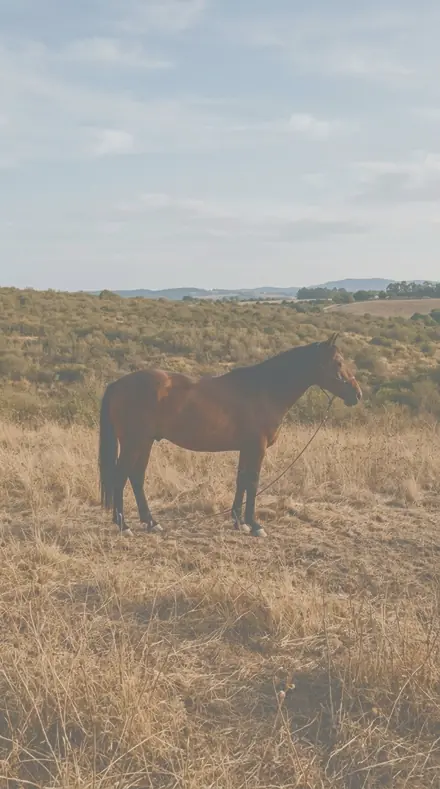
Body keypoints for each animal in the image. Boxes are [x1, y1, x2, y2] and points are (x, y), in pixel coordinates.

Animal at [98, 333, 362, 538]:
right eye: (338, 362)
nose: (357, 394)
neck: (264, 390)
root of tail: (118, 384)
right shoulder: (257, 448)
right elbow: (252, 482)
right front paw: (255, 525)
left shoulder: (247, 448)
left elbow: (241, 481)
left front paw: (238, 522)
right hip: (134, 443)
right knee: (120, 477)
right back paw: (124, 525)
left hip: (144, 443)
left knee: (136, 477)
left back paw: (151, 522)